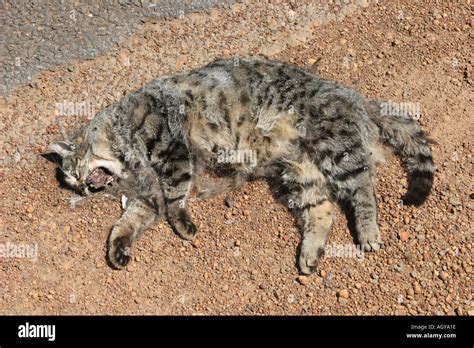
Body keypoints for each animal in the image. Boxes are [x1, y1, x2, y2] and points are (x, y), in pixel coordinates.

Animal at [46, 57, 436, 274]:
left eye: (74, 174)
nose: (83, 188)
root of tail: (352, 96)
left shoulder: (172, 153)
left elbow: (174, 198)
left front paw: (183, 224)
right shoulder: (146, 193)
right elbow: (127, 221)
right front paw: (118, 247)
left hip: (335, 149)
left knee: (362, 188)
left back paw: (368, 232)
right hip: (301, 172)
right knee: (323, 209)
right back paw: (310, 253)